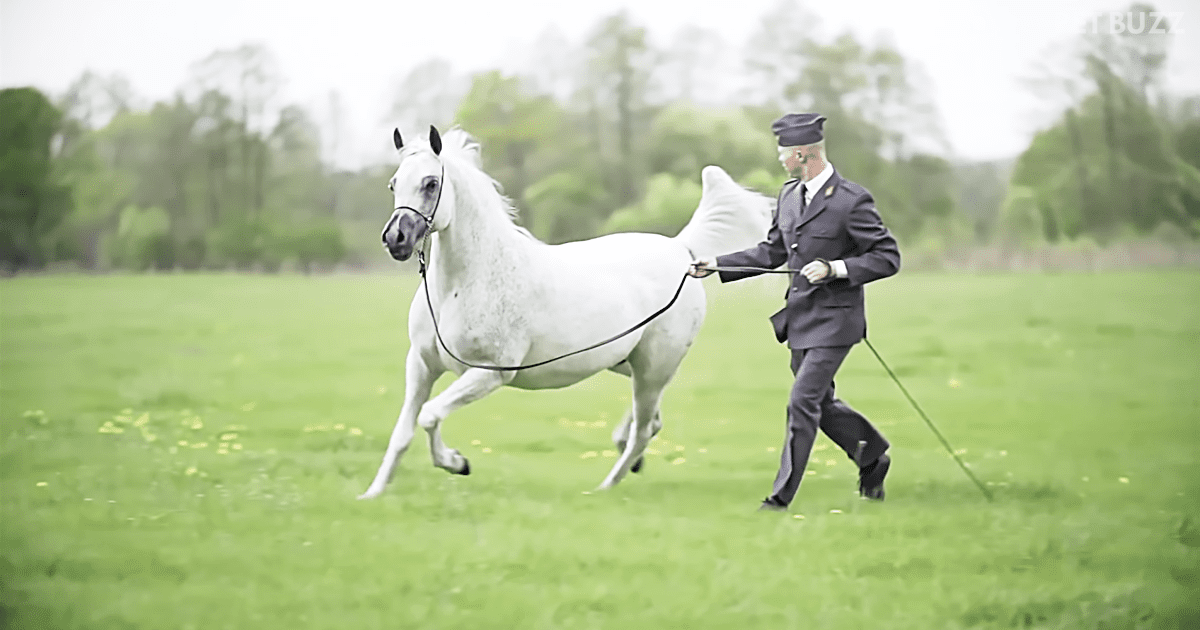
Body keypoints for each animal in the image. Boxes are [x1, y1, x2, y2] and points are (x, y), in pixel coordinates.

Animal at [359, 125, 772, 499]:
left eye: (430, 183)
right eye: (394, 184)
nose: (395, 240)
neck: (464, 284)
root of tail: (681, 251)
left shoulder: (490, 373)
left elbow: (429, 415)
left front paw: (457, 463)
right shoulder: (422, 365)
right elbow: (403, 431)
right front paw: (373, 493)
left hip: (655, 367)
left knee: (643, 428)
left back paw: (605, 486)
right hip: (626, 363)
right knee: (650, 421)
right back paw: (625, 458)